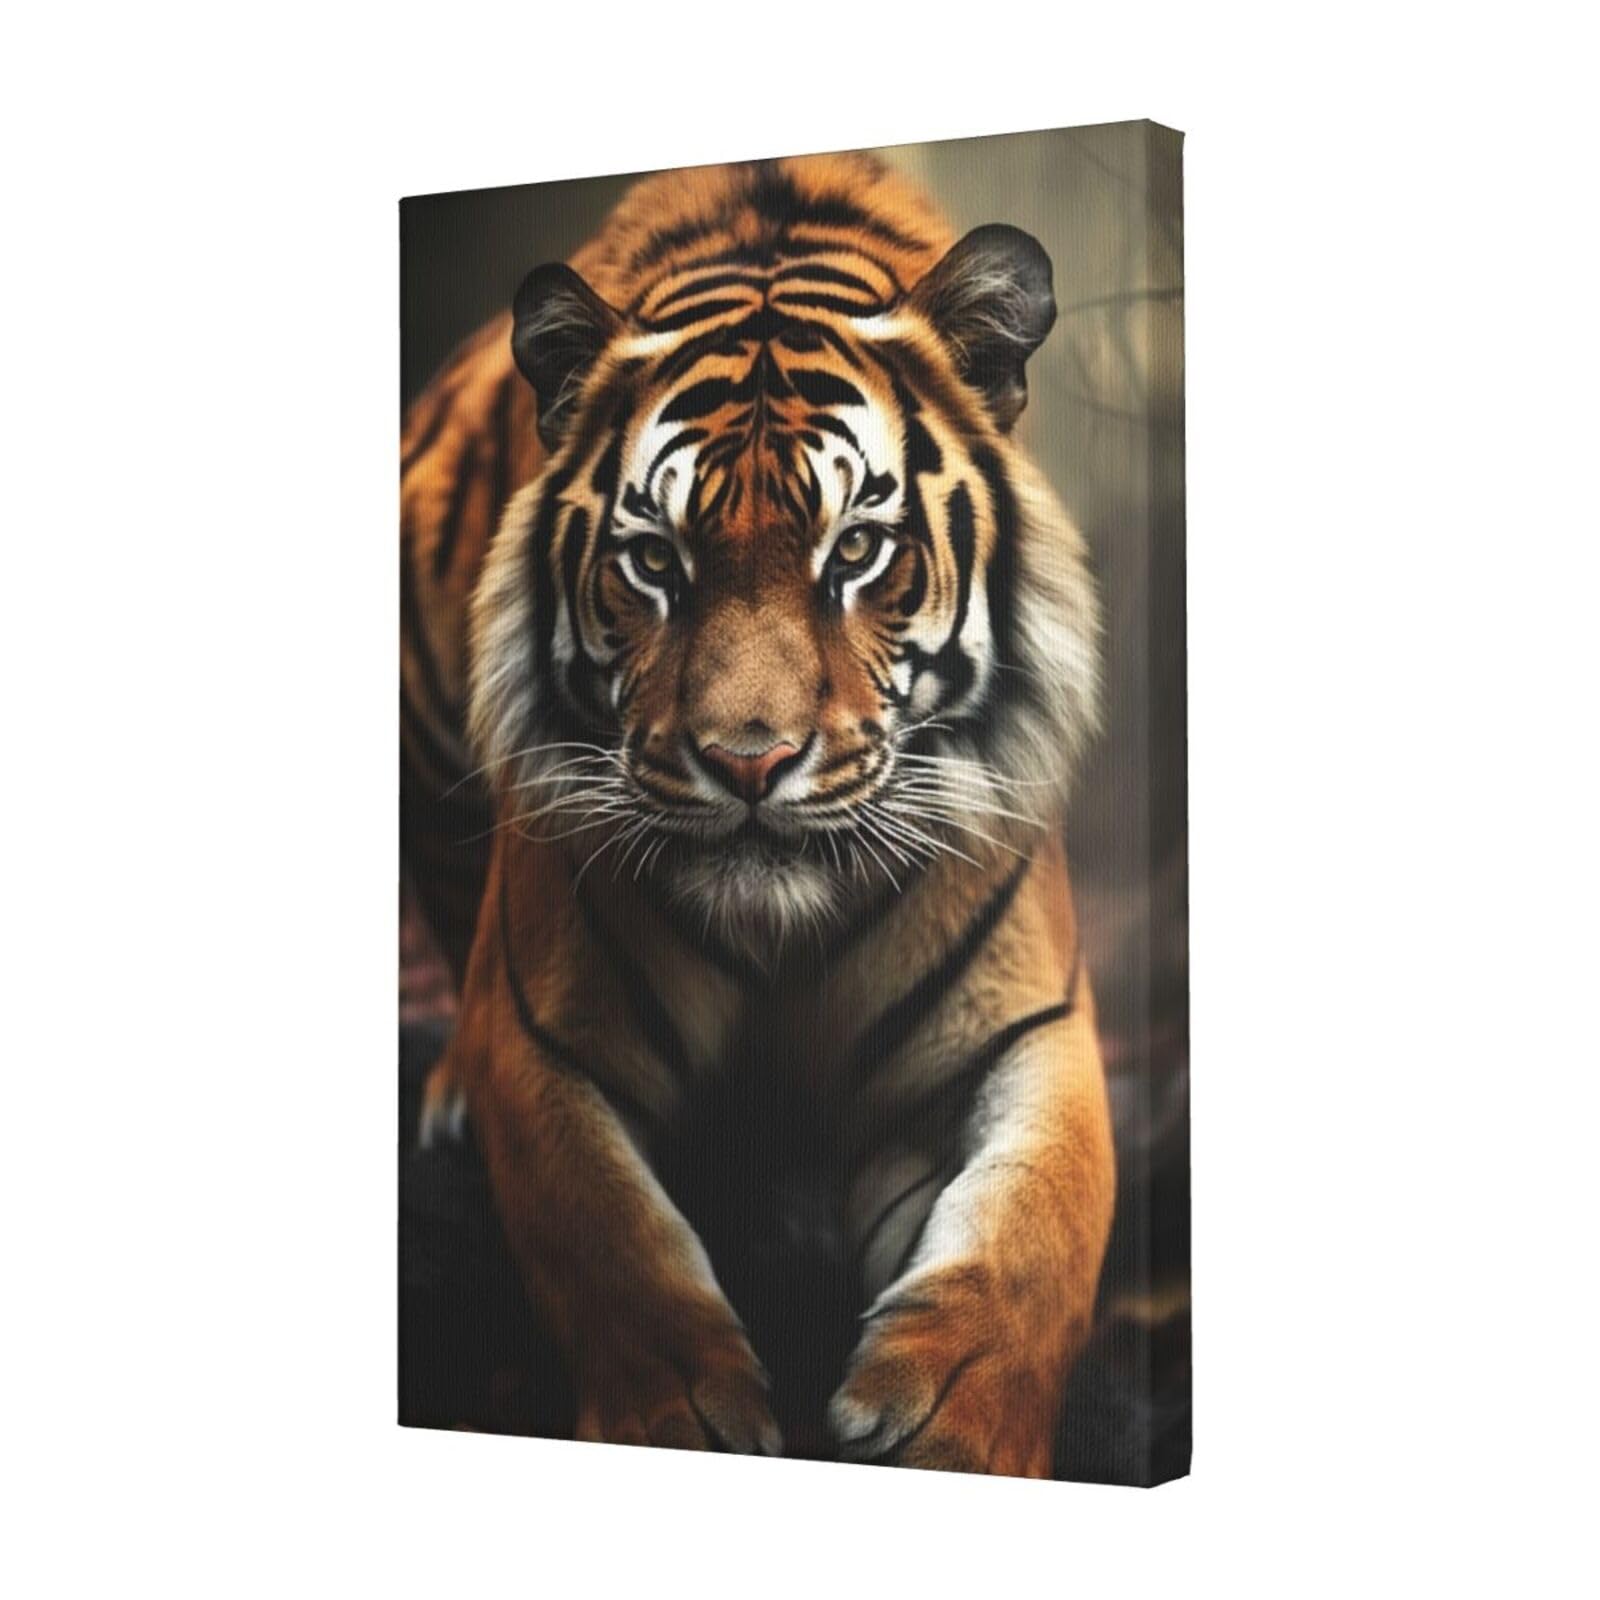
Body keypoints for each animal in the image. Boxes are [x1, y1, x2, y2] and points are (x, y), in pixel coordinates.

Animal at [401, 153, 1114, 1476]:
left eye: (859, 549)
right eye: (654, 561)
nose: (749, 761)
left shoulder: (1025, 1028)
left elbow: (1035, 1224)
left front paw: (950, 1427)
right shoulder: (548, 1040)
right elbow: (610, 1245)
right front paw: (689, 1416)